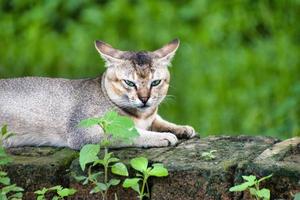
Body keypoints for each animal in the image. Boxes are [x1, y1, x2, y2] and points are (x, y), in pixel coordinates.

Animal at [0, 38, 197, 150]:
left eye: (155, 82)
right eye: (129, 83)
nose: (144, 99)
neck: (141, 116)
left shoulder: (151, 117)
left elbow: (159, 121)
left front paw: (181, 128)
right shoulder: (84, 131)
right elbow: (130, 132)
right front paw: (162, 136)